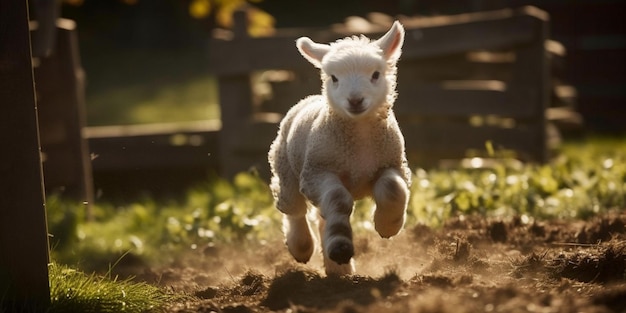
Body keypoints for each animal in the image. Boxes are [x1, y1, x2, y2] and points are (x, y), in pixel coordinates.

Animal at [266, 21, 410, 272]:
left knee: (323, 219)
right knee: (294, 210)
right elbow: (338, 199)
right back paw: (301, 246)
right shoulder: (317, 173)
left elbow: (392, 189)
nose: (355, 100)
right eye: (334, 78)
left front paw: (388, 226)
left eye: (375, 74)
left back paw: (338, 270)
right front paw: (341, 248)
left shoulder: (393, 163)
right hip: (286, 169)